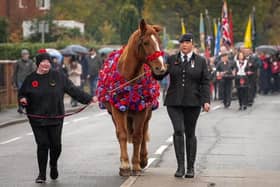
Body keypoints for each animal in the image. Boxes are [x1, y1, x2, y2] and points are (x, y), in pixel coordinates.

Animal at [96, 18, 166, 176]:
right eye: (146, 42)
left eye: (159, 41)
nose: (161, 68)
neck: (129, 79)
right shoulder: (117, 110)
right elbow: (122, 134)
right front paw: (125, 165)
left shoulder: (142, 110)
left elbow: (138, 136)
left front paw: (136, 165)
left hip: (147, 112)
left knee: (144, 131)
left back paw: (143, 158)